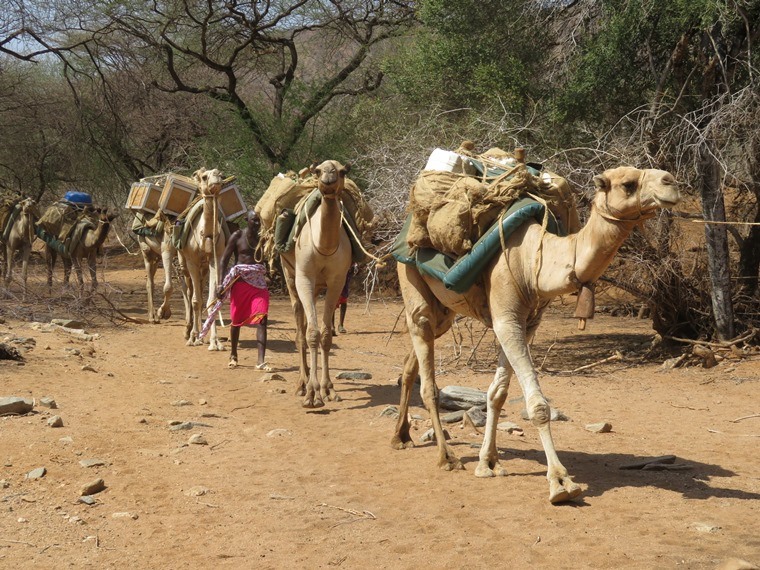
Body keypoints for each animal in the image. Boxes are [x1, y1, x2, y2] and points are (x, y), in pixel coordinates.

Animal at [177, 166, 226, 348]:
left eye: (222, 174)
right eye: (204, 177)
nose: (217, 177)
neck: (206, 234)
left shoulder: (215, 259)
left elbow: (211, 300)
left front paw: (215, 342)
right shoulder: (192, 261)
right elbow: (196, 301)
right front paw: (193, 337)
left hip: (203, 268)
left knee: (200, 288)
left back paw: (201, 335)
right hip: (184, 263)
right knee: (190, 292)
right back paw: (191, 332)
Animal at [282, 160, 354, 406]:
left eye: (342, 171)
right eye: (317, 170)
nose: (329, 177)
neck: (324, 245)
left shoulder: (337, 281)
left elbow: (324, 335)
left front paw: (328, 389)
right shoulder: (304, 278)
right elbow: (311, 334)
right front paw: (312, 393)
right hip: (290, 276)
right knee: (299, 329)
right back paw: (302, 383)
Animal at [394, 165, 680, 502]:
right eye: (628, 184)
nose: (671, 183)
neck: (533, 261)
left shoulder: (526, 323)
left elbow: (497, 394)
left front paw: (488, 463)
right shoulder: (506, 319)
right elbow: (538, 405)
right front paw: (560, 482)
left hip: (445, 310)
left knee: (412, 361)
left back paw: (400, 437)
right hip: (410, 279)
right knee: (427, 370)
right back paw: (446, 457)